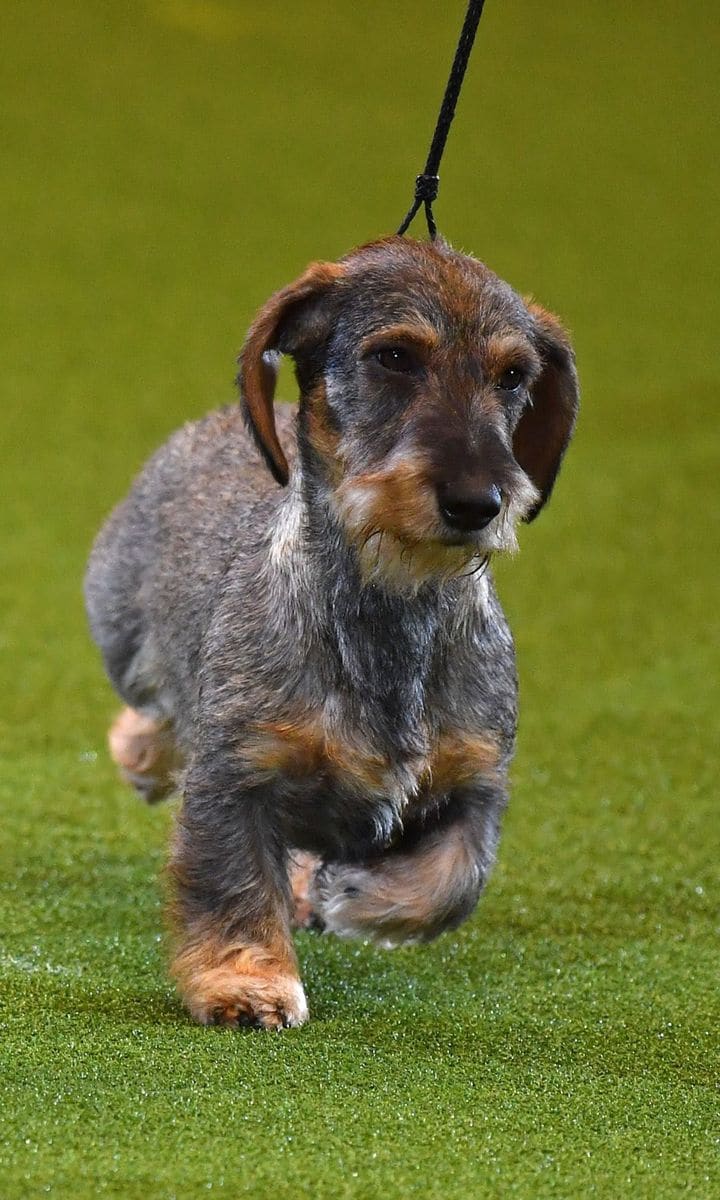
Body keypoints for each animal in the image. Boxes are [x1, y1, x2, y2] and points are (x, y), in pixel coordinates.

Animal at [84, 236, 578, 1032]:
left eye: (512, 375)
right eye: (395, 356)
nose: (478, 502)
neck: (388, 617)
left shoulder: (478, 780)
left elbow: (452, 880)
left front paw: (354, 896)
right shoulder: (237, 774)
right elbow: (232, 883)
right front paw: (244, 981)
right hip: (124, 640)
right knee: (153, 713)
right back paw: (144, 756)